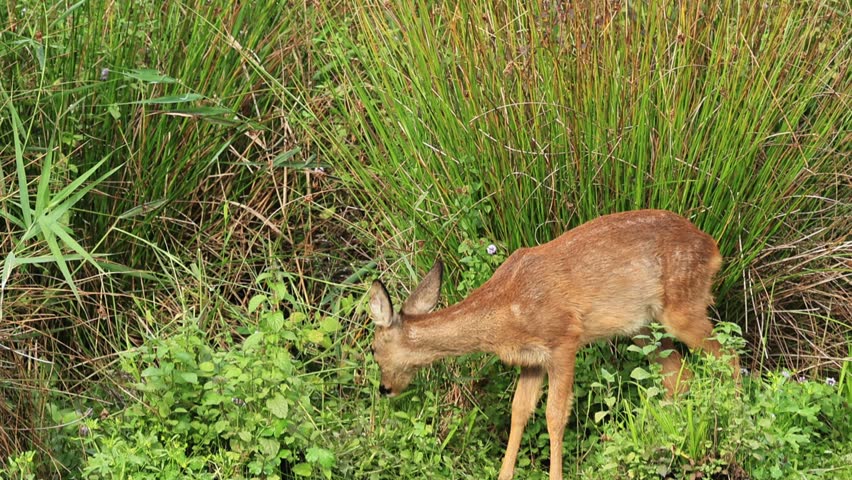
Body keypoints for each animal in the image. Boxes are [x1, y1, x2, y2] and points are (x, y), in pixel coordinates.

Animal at [367, 209, 740, 480]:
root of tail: (713, 246)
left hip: (683, 306)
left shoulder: (564, 340)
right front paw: (504, 475)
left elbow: (554, 416)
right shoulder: (532, 360)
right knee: (678, 374)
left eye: (373, 349)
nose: (385, 388)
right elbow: (519, 412)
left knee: (729, 357)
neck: (503, 310)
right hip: (643, 327)